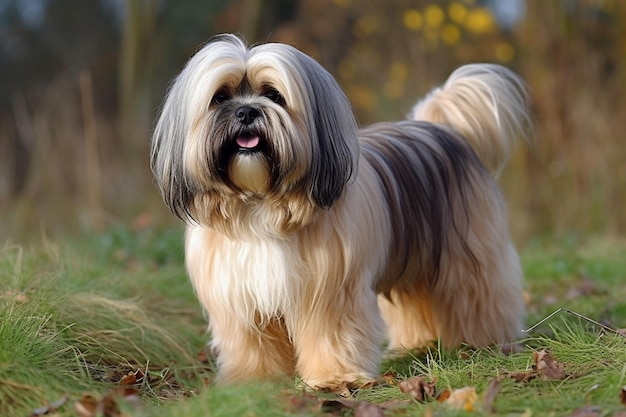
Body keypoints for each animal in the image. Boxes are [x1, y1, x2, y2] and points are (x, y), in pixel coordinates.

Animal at [149, 34, 528, 388]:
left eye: (273, 95)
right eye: (221, 97)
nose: (246, 112)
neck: (261, 204)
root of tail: (444, 132)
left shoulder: (330, 292)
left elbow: (330, 334)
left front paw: (334, 378)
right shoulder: (239, 299)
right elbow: (252, 344)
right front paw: (255, 382)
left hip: (467, 255)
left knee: (479, 293)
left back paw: (484, 340)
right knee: (414, 303)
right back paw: (416, 345)